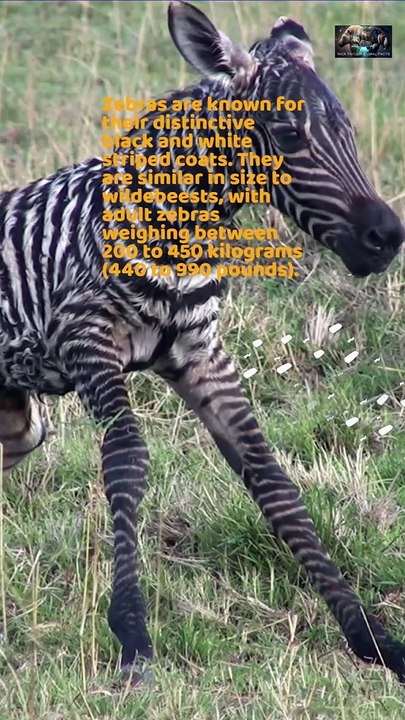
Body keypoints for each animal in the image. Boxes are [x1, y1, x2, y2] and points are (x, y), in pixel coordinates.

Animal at [0, 0, 404, 685]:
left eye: (349, 130)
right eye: (288, 134)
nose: (388, 237)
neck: (176, 222)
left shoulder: (202, 356)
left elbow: (274, 482)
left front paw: (371, 638)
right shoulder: (85, 338)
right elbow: (127, 459)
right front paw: (133, 637)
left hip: (20, 420)